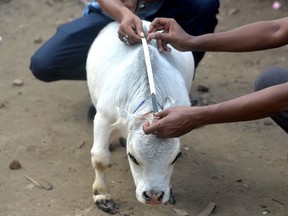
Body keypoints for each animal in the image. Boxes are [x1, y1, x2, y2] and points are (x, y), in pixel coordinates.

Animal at [86, 21, 195, 213]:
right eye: (132, 157)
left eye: (176, 157)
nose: (154, 196)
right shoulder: (104, 119)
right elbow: (100, 159)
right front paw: (102, 195)